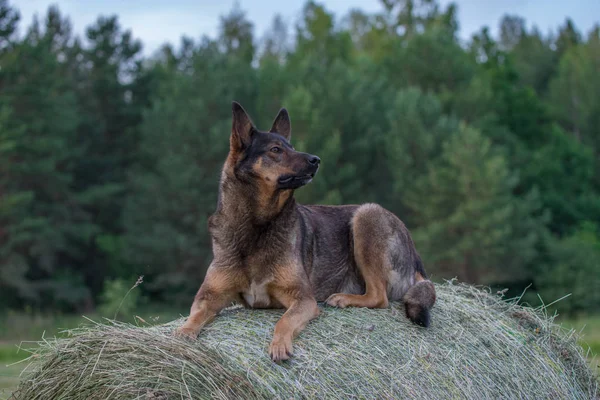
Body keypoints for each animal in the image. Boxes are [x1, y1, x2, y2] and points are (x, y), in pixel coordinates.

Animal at [175, 101, 436, 362]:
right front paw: (183, 333)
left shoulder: (303, 299)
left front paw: (279, 345)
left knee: (379, 297)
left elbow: (284, 320)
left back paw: (343, 298)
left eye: (292, 147)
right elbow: (195, 315)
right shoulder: (209, 296)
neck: (257, 226)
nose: (316, 160)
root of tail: (415, 256)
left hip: (366, 215)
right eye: (276, 149)